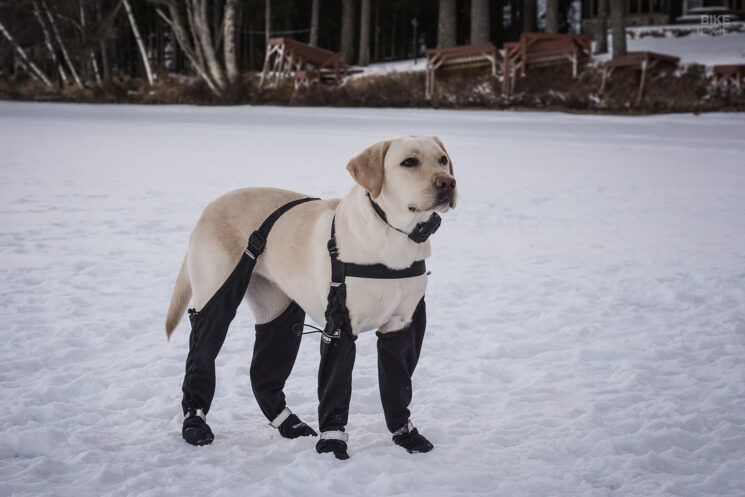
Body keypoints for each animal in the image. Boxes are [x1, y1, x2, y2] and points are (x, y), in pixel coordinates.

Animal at [166, 135, 456, 458]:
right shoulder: (340, 326)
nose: (448, 182)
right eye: (409, 162)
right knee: (202, 350)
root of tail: (210, 206)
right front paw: (332, 445)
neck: (393, 237)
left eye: (442, 160)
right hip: (216, 295)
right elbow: (334, 390)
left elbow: (398, 386)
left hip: (277, 307)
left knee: (265, 369)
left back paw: (288, 423)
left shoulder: (402, 326)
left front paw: (406, 436)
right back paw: (195, 424)